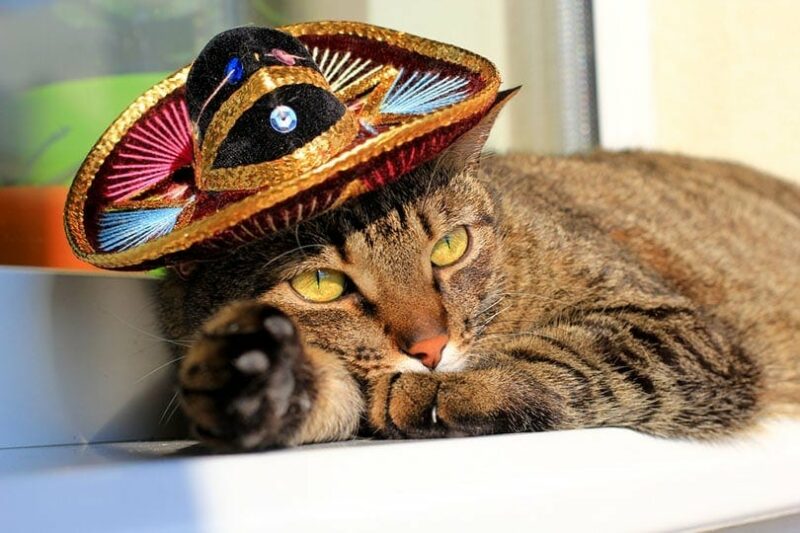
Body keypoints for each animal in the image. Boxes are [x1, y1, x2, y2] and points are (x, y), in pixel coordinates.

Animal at [158, 127, 800, 446]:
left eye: (449, 247)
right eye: (321, 283)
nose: (429, 349)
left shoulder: (678, 327)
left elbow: (564, 352)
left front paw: (452, 386)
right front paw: (256, 378)